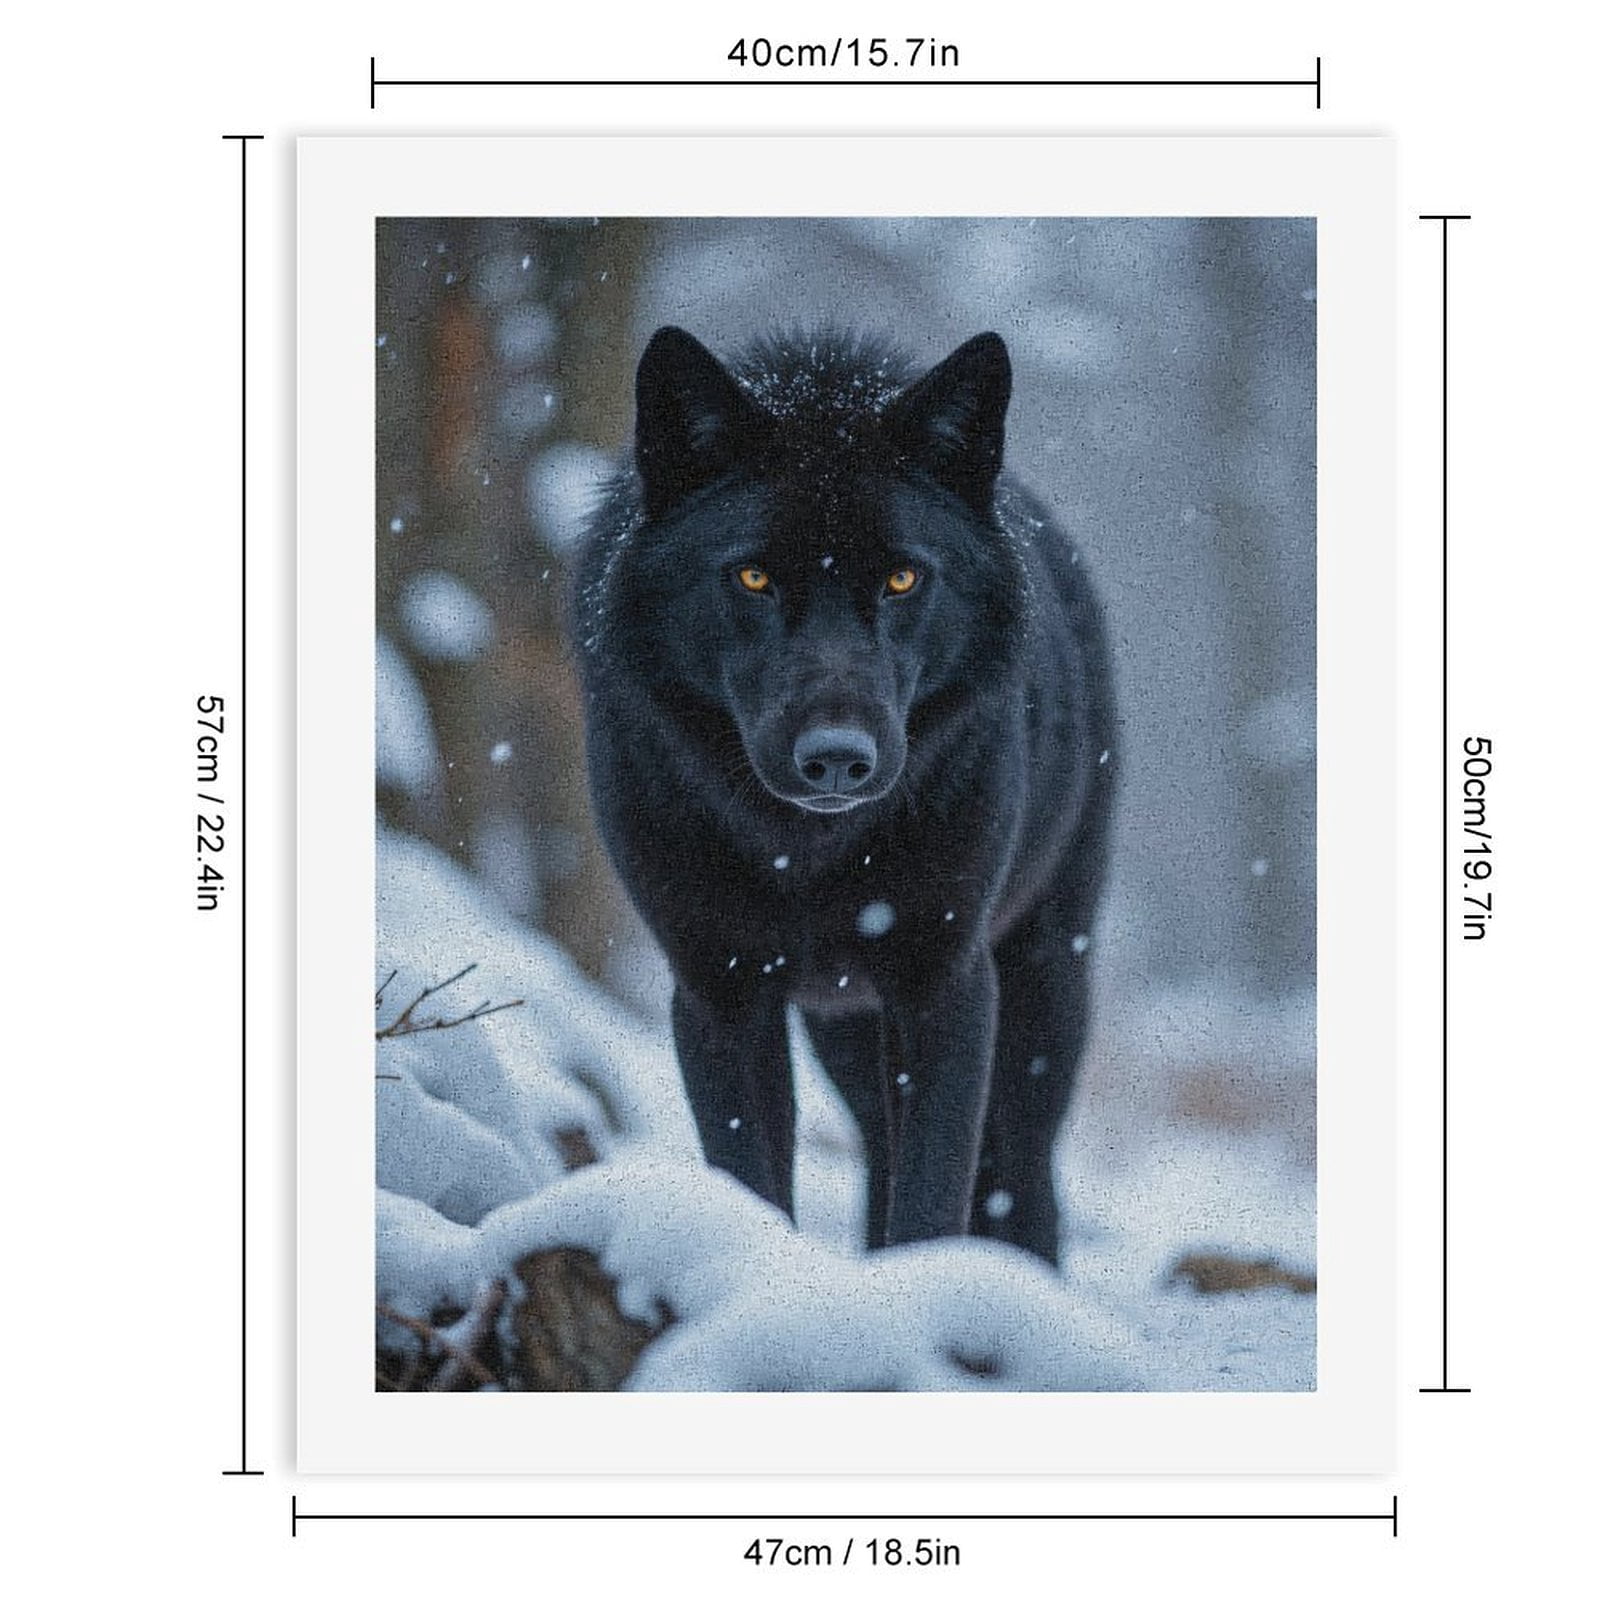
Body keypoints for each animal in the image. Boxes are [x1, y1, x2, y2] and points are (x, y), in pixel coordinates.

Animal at [572, 327, 1116, 1264]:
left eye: (902, 580)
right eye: (753, 579)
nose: (837, 759)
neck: (808, 853)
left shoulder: (946, 984)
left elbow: (931, 1199)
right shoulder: (720, 992)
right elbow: (754, 1178)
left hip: (1043, 988)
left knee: (1022, 1183)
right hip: (845, 1028)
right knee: (878, 1151)